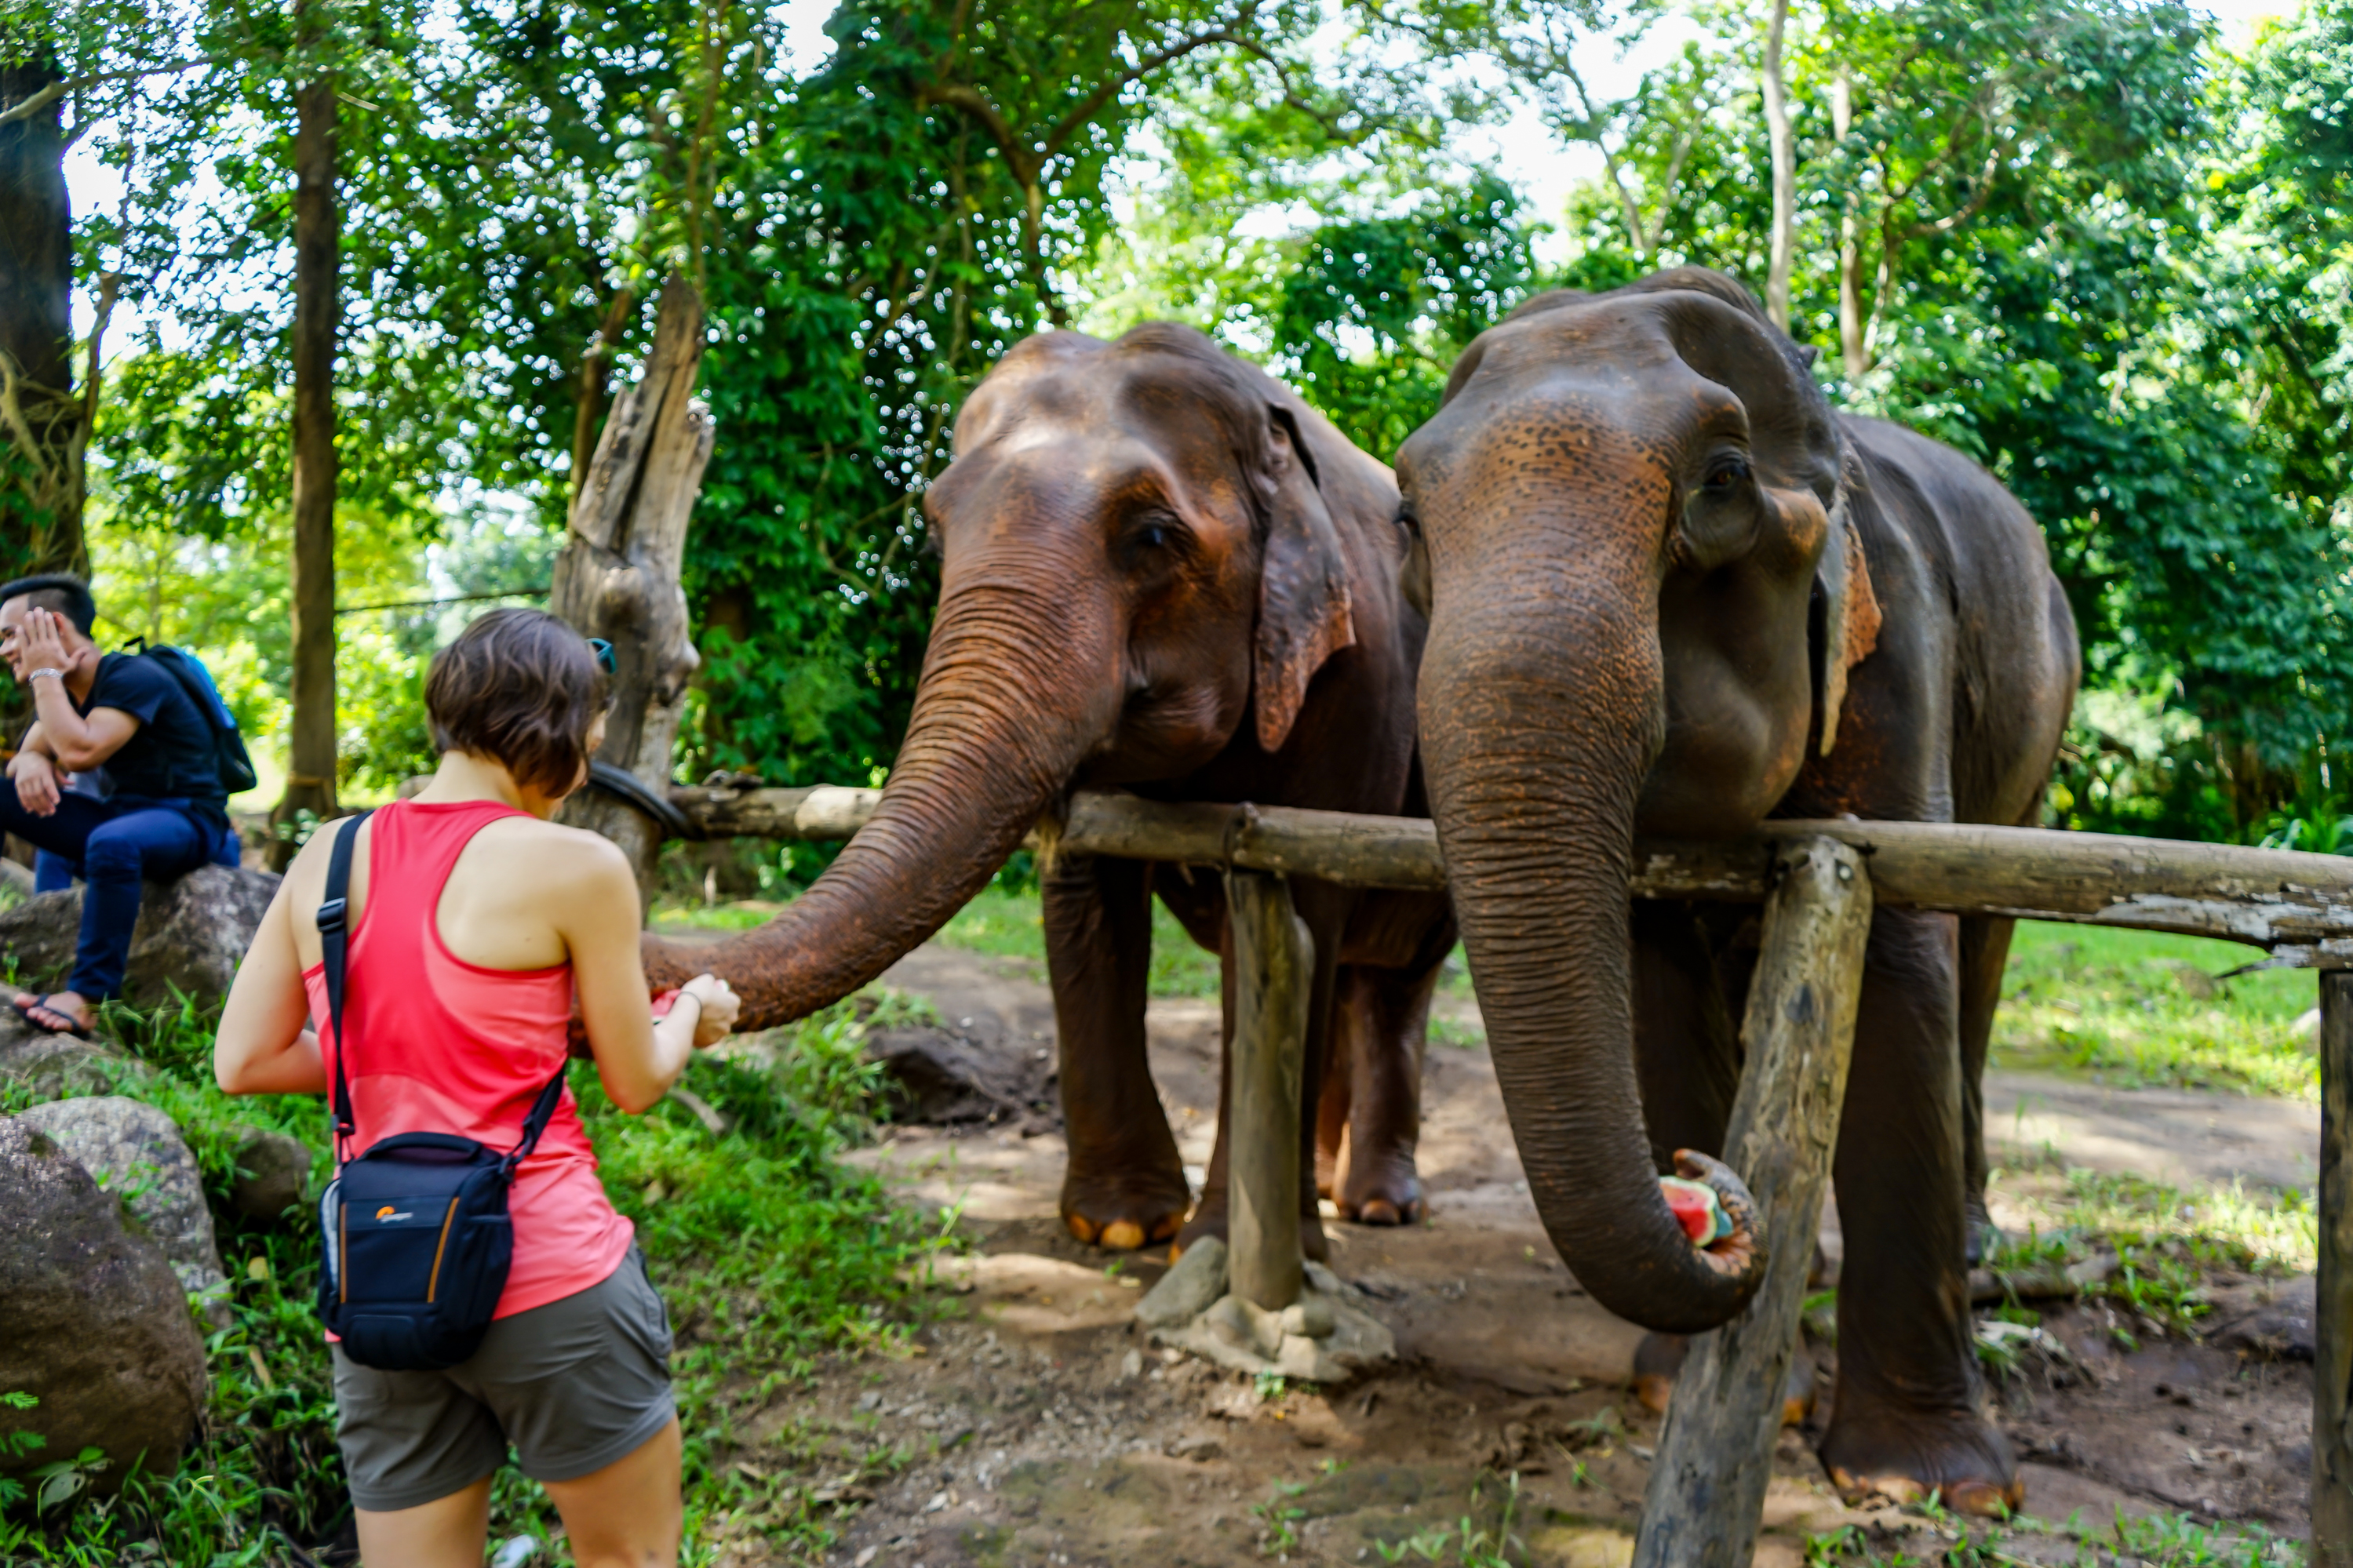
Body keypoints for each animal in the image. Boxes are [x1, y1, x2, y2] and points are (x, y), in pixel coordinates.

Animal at [646, 322, 1456, 1253]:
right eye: (933, 531)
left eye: (1152, 535)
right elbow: (1085, 898)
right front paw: (1119, 1228)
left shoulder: (1356, 683)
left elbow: (1299, 916)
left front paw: (1214, 1243)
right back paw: (1331, 1191)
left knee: (1394, 979)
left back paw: (1378, 1206)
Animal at [1394, 267, 2078, 1513]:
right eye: (1408, 521)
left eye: (1720, 481)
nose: (1695, 1184)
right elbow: (1656, 974)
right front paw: (1675, 1381)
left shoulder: (1897, 638)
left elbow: (1900, 960)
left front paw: (1925, 1481)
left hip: (2032, 752)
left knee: (1983, 950)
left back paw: (1972, 1244)